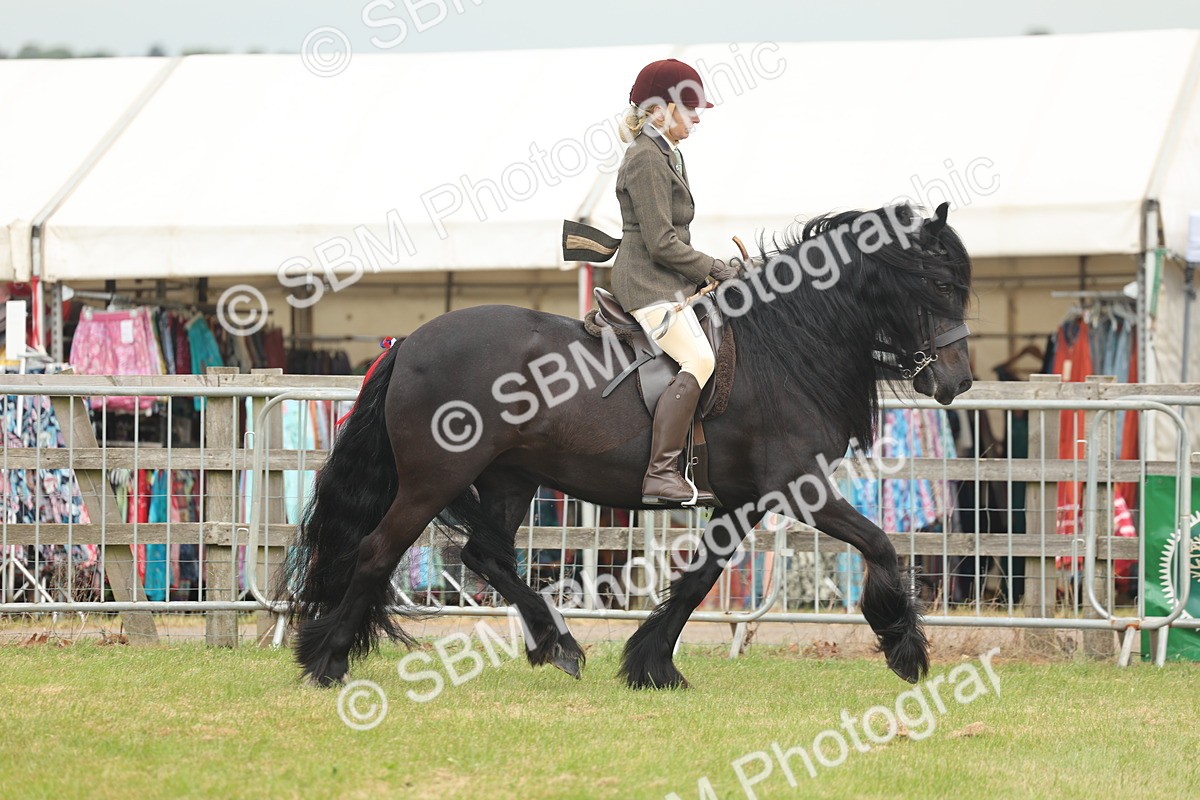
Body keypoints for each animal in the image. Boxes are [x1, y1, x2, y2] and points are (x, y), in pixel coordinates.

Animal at [286, 202, 974, 689]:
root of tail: (410, 343)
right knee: (378, 551)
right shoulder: (797, 488)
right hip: (434, 480)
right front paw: (905, 649)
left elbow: (699, 579)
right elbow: (879, 543)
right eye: (940, 286)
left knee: (485, 556)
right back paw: (328, 663)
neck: (788, 346)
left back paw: (557, 643)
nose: (957, 381)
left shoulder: (744, 500)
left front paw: (652, 665)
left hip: (510, 477)